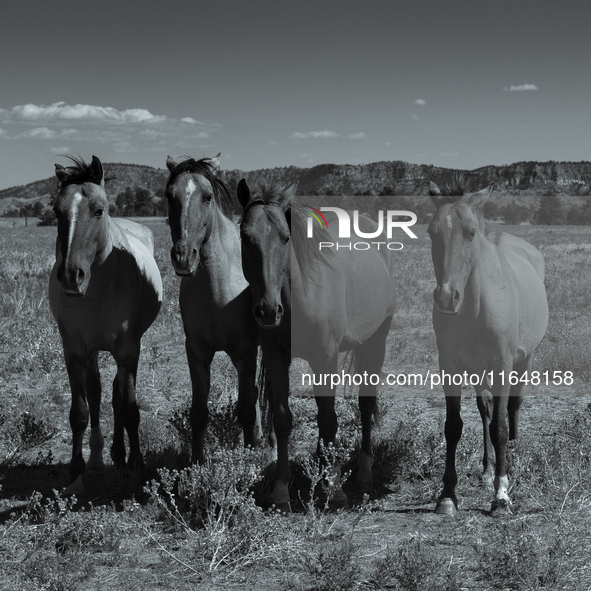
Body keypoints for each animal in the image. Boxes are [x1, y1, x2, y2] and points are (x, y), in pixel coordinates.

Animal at [48, 155, 163, 492]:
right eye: (56, 211)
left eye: (98, 210)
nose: (71, 276)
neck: (100, 288)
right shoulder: (74, 351)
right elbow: (80, 411)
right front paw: (76, 472)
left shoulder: (127, 350)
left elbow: (129, 408)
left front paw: (136, 464)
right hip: (92, 352)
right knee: (98, 392)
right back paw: (99, 458)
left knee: (115, 395)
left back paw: (120, 456)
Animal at [163, 155, 262, 464]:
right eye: (169, 196)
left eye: (207, 197)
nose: (183, 257)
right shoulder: (196, 352)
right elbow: (198, 412)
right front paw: (196, 462)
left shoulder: (246, 350)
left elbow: (245, 408)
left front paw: (250, 457)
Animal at [237, 180, 398, 508]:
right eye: (245, 237)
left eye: (286, 238)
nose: (268, 311)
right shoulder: (276, 357)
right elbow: (283, 419)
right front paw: (281, 488)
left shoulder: (326, 358)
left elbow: (328, 420)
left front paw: (333, 488)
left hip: (378, 340)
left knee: (365, 404)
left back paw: (362, 474)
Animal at [428, 180, 548, 512]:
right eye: (432, 232)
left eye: (471, 232)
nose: (446, 298)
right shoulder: (450, 365)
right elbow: (454, 426)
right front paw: (448, 495)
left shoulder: (502, 365)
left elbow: (500, 427)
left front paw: (501, 493)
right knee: (486, 411)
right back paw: (486, 467)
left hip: (524, 359)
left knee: (511, 407)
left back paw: (512, 455)